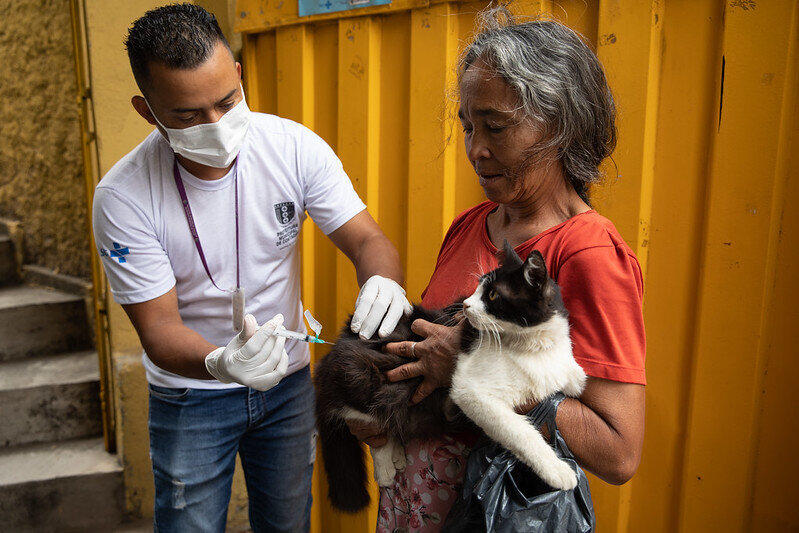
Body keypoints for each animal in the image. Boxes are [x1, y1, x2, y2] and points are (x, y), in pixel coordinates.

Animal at [314, 241, 588, 512]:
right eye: (477, 288)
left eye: (492, 295)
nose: (465, 304)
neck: (531, 345)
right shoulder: (471, 392)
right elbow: (521, 433)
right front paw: (558, 471)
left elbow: (574, 374)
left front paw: (576, 380)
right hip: (363, 378)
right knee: (373, 426)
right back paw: (385, 468)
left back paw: (398, 455)